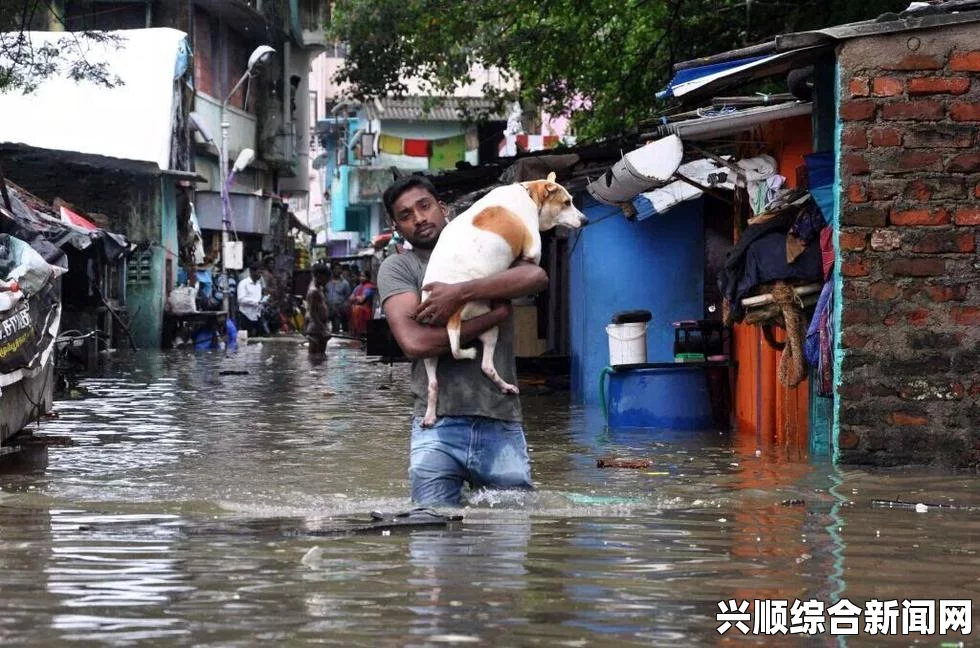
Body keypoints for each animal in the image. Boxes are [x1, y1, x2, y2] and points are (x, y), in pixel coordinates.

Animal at [418, 172, 584, 426]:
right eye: (567, 203)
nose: (585, 220)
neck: (529, 192)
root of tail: (453, 314)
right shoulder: (532, 253)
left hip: (431, 346)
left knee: (435, 383)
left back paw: (430, 415)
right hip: (489, 325)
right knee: (486, 365)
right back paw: (507, 386)